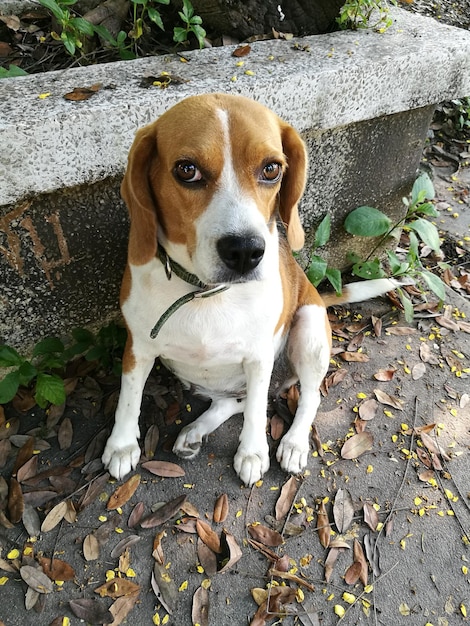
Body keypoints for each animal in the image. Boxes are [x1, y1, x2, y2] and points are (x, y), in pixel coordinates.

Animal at [101, 92, 394, 486]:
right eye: (186, 170)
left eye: (271, 169)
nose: (245, 251)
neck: (207, 293)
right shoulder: (139, 348)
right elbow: (128, 399)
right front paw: (121, 445)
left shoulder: (258, 356)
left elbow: (256, 411)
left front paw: (253, 453)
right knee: (230, 401)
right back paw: (195, 432)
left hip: (309, 330)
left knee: (306, 398)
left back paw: (294, 444)